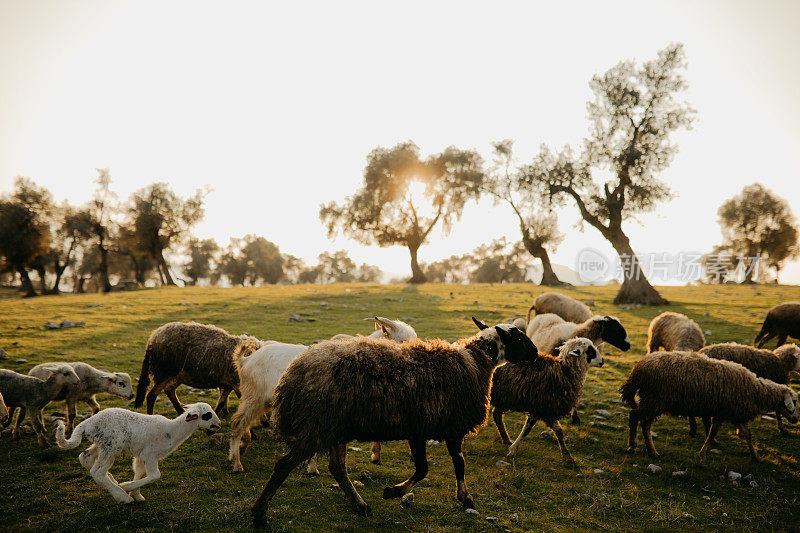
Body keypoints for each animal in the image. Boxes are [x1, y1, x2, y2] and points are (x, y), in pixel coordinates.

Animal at [54, 404, 220, 502]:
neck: (172, 431)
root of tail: (87, 424)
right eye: (207, 415)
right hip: (111, 446)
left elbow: (139, 472)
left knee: (85, 457)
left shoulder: (141, 456)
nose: (218, 425)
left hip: (101, 444)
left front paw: (136, 494)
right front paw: (127, 488)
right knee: (97, 472)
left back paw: (113, 482)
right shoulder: (150, 454)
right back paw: (122, 496)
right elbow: (154, 476)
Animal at [134, 320, 262, 416]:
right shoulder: (236, 384)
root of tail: (152, 339)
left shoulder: (229, 384)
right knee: (151, 396)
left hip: (176, 375)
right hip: (164, 371)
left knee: (169, 389)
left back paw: (181, 411)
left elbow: (221, 402)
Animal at [228, 314, 416, 472]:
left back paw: (237, 452)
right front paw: (313, 468)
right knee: (238, 424)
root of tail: (245, 360)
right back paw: (237, 464)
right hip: (254, 397)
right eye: (402, 341)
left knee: (245, 423)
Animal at [250, 316, 536, 524]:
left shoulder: (422, 429)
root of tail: (293, 373)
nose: (535, 352)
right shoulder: (446, 427)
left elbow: (432, 468)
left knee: (337, 468)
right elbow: (447, 466)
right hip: (316, 425)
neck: (477, 363)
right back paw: (259, 512)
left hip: (333, 426)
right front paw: (461, 497)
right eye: (518, 336)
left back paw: (360, 506)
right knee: (284, 465)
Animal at [620, 350, 800, 462]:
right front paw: (703, 455)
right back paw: (632, 447)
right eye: (795, 401)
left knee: (645, 423)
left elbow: (744, 434)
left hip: (652, 400)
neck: (755, 390)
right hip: (654, 400)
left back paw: (651, 452)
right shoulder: (728, 412)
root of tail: (639, 367)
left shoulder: (730, 413)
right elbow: (716, 432)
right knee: (635, 416)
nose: (796, 419)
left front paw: (756, 456)